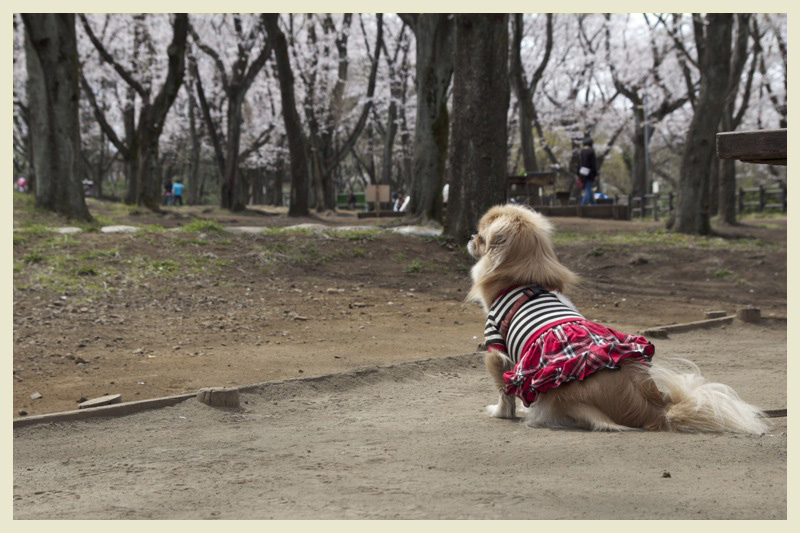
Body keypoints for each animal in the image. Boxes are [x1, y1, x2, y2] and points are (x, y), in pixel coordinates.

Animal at [468, 204, 768, 432]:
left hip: (558, 394)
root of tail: (655, 411)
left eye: (481, 236)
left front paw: (500, 411)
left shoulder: (495, 349)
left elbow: (503, 390)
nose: (470, 236)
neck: (524, 281)